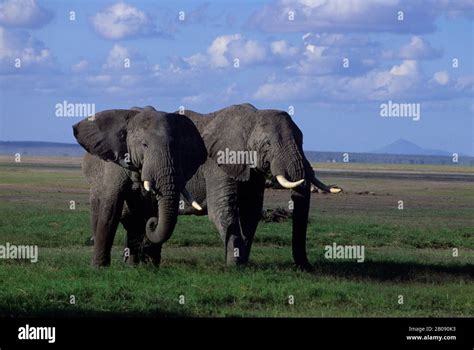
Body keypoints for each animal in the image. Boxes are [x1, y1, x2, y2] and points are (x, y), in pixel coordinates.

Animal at [73, 108, 206, 266]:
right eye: (144, 145)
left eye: (176, 147)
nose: (153, 223)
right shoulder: (115, 164)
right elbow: (111, 206)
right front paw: (99, 267)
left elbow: (153, 207)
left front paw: (151, 266)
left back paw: (134, 264)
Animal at [125, 102, 340, 270]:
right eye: (268, 144)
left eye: (302, 141)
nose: (307, 267)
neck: (251, 118)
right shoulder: (218, 161)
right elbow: (222, 208)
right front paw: (234, 266)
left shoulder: (251, 169)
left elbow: (251, 210)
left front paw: (241, 261)